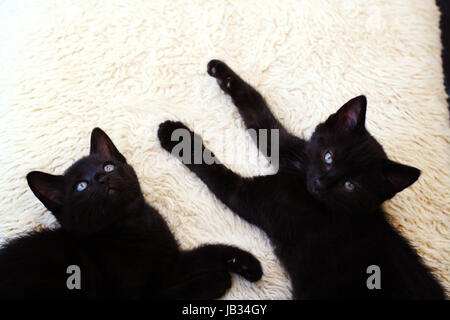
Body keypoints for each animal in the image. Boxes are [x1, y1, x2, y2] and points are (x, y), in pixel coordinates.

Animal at [0, 127, 262, 300]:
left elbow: (205, 252)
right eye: (80, 186)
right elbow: (169, 296)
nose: (101, 178)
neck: (133, 225)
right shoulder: (136, 297)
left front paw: (245, 263)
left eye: (108, 166)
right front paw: (217, 279)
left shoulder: (169, 263)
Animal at [156, 60, 444, 300]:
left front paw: (176, 136)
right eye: (328, 157)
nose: (320, 183)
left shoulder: (253, 197)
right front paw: (223, 73)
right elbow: (261, 116)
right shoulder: (297, 152)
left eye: (350, 186)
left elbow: (216, 171)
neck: (301, 182)